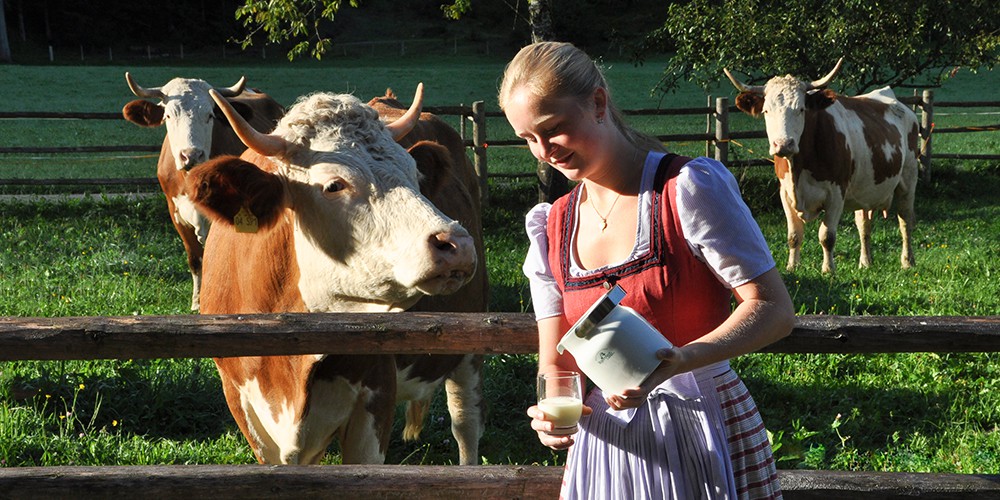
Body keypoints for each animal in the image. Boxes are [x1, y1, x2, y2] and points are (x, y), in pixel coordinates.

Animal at [122, 73, 286, 308]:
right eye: (168, 116)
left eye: (209, 115)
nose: (191, 155)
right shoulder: (175, 213)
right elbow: (196, 259)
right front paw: (197, 301)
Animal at [187, 83, 488, 464]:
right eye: (334, 185)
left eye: (414, 173)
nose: (456, 243)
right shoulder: (243, 405)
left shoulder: (376, 396)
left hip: (471, 345)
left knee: (465, 423)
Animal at [724, 61, 916, 278]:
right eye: (766, 111)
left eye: (801, 109)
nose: (783, 144)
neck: (799, 168)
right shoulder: (785, 193)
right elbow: (794, 235)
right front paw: (792, 267)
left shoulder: (836, 194)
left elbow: (827, 236)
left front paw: (828, 269)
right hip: (865, 190)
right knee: (864, 225)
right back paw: (865, 262)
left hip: (908, 180)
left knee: (905, 220)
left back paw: (907, 261)